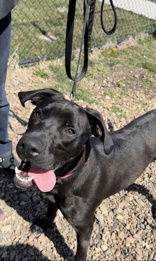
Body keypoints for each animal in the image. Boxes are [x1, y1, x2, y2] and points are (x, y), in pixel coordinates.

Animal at [14, 88, 155, 258]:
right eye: (38, 113)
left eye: (70, 131)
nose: (28, 146)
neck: (69, 177)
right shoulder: (52, 199)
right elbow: (50, 212)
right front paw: (44, 224)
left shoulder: (85, 226)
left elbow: (81, 251)